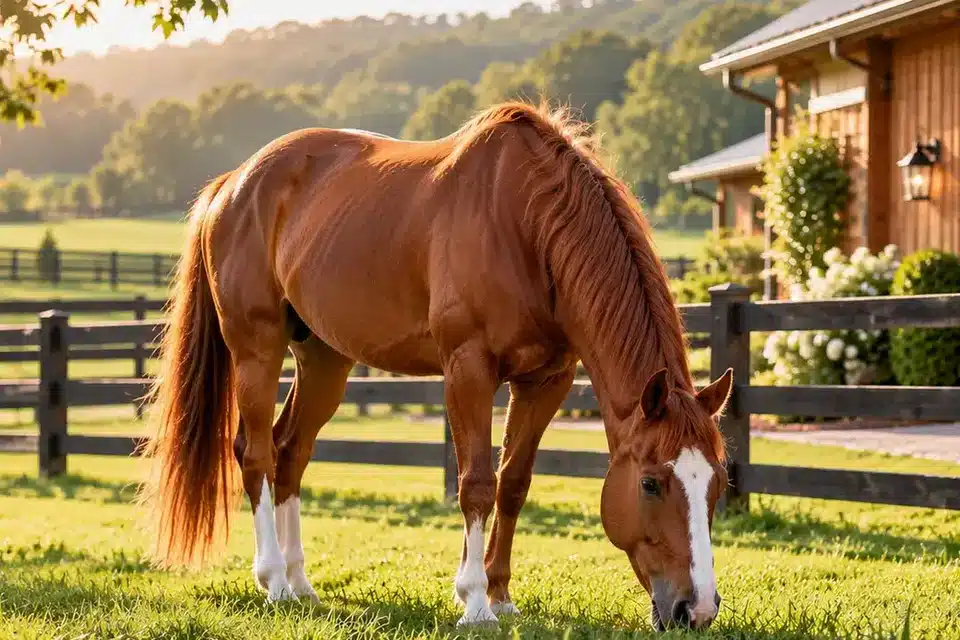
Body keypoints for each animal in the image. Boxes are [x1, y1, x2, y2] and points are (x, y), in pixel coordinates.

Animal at [137, 100, 733, 632]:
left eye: (718, 483)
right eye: (652, 483)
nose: (696, 609)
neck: (525, 223)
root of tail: (233, 184)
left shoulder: (546, 380)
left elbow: (513, 483)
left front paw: (501, 595)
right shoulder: (468, 370)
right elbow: (476, 484)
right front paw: (474, 602)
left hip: (324, 360)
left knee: (291, 452)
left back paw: (302, 581)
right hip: (256, 350)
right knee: (256, 453)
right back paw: (275, 581)